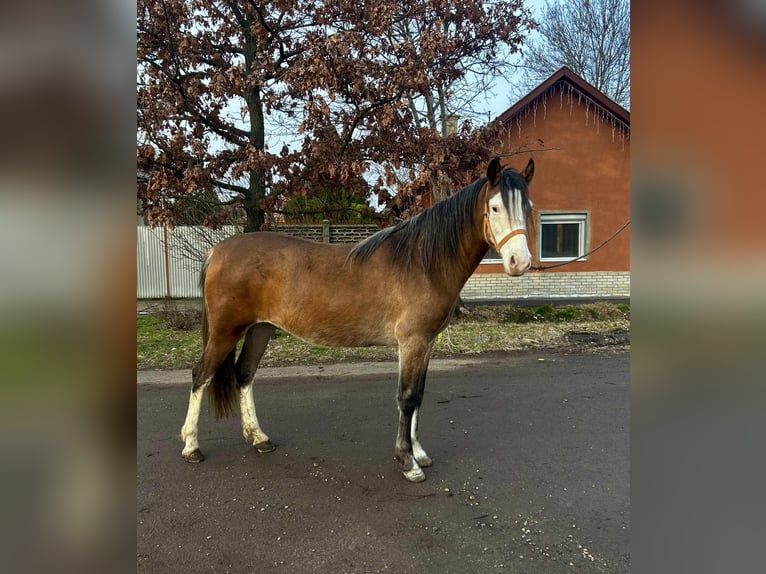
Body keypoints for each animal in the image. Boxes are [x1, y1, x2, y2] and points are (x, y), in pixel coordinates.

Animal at [180, 157, 535, 482]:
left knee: (244, 374)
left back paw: (258, 438)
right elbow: (407, 397)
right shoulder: (412, 341)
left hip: (260, 329)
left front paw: (419, 452)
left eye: (528, 208)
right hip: (226, 331)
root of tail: (218, 251)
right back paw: (191, 446)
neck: (422, 261)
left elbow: (419, 395)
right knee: (201, 375)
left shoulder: (426, 342)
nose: (519, 262)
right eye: (495, 207)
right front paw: (408, 462)